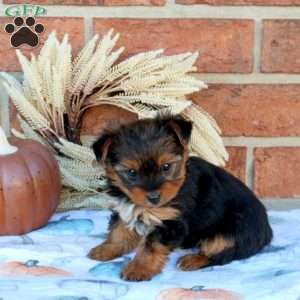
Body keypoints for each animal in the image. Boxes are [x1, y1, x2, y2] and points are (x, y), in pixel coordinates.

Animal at [88, 115, 274, 282]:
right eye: (131, 173)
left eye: (166, 167)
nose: (154, 197)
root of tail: (267, 230)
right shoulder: (124, 208)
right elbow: (119, 230)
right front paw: (107, 249)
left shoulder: (171, 223)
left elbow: (151, 245)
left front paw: (139, 268)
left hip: (233, 231)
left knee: (224, 252)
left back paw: (193, 260)